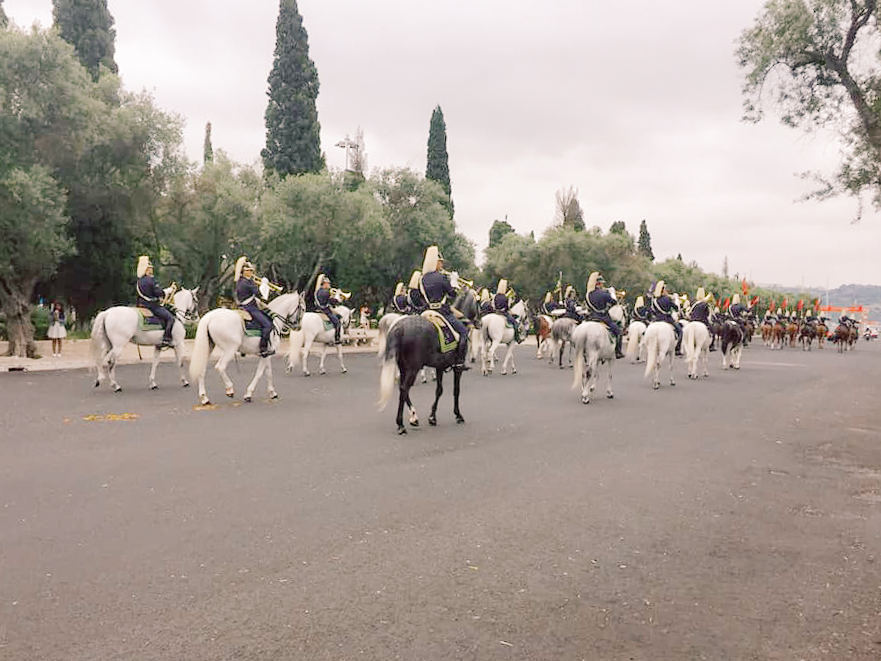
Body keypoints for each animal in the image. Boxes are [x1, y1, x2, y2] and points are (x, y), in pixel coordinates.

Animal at [376, 288, 478, 434]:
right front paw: (458, 415)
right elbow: (456, 390)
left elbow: (439, 390)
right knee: (404, 388)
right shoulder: (457, 368)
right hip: (413, 368)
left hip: (403, 367)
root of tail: (399, 327)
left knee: (402, 388)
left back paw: (413, 417)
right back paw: (401, 424)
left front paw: (432, 417)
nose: (479, 322)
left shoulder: (440, 366)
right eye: (478, 301)